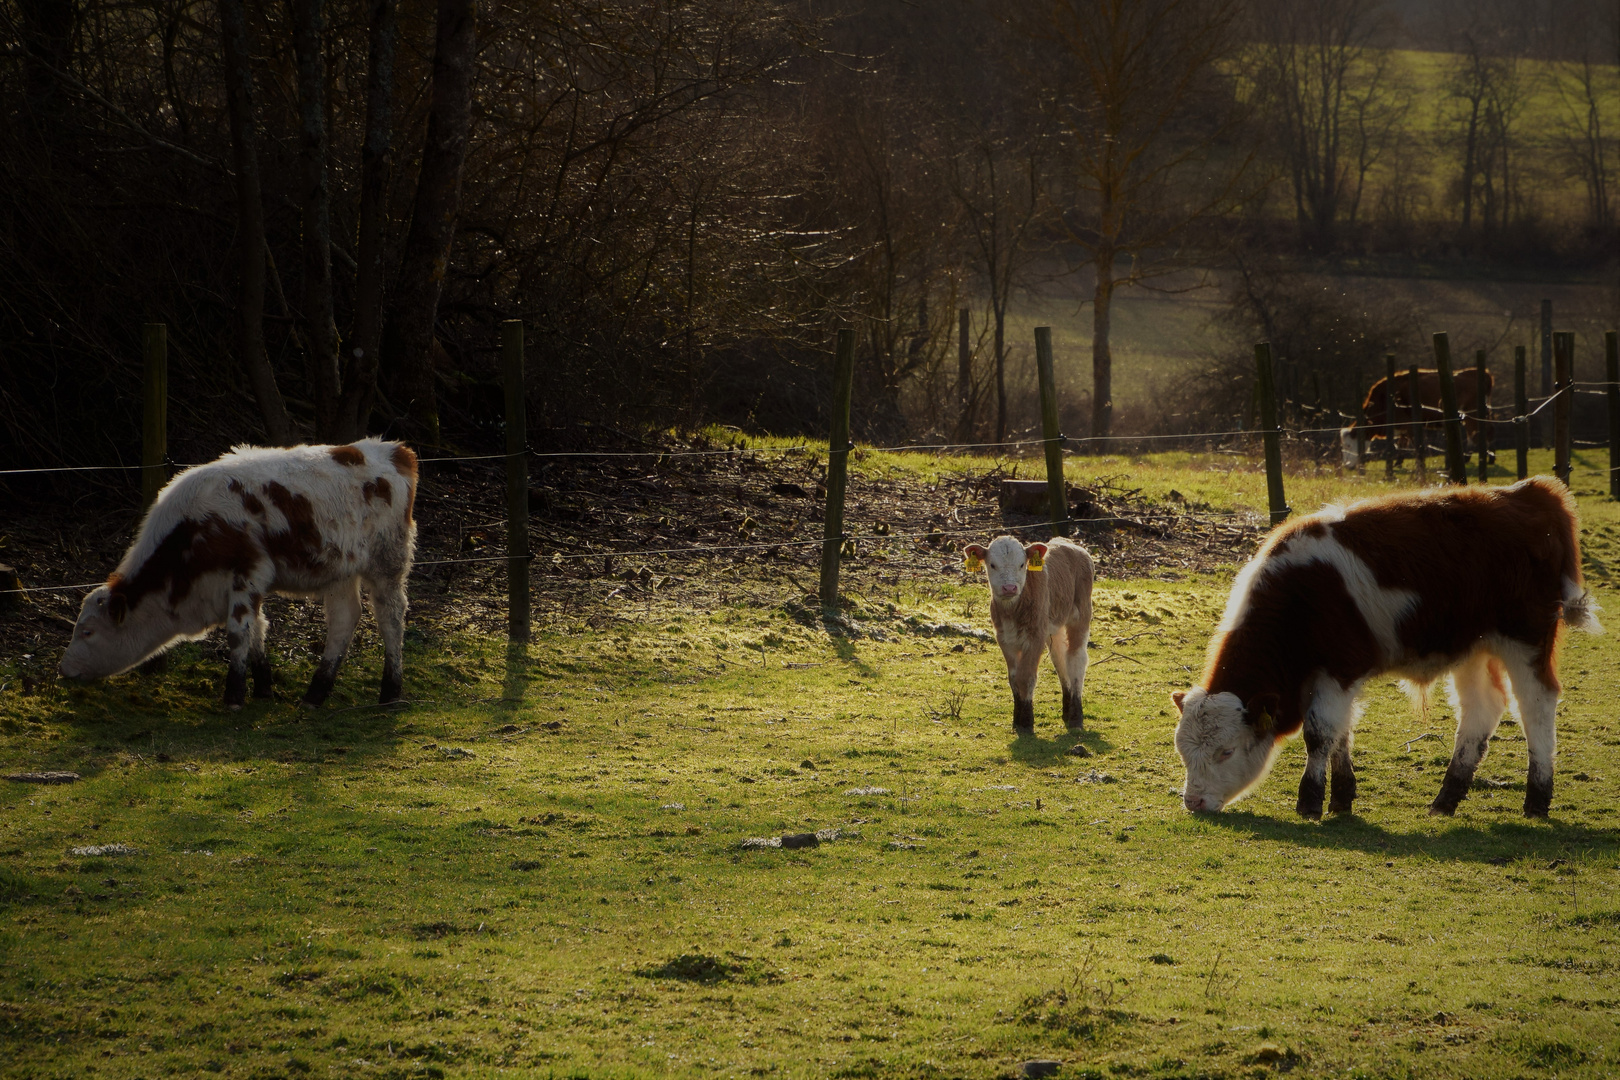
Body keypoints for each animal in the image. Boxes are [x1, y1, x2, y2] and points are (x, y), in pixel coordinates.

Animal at [59, 440, 417, 709]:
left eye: (88, 632)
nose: (64, 669)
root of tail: (393, 451)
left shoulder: (247, 574)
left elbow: (237, 632)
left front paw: (234, 695)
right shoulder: (242, 585)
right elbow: (257, 629)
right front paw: (262, 687)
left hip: (387, 562)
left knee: (391, 617)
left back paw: (391, 690)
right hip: (340, 571)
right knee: (344, 620)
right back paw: (316, 692)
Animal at [959, 534, 1101, 735]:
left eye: (1021, 564)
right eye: (992, 565)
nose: (1009, 588)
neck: (1013, 611)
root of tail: (1067, 542)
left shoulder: (1035, 637)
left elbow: (1026, 677)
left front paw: (1026, 722)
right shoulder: (1004, 638)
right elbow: (1013, 678)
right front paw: (1017, 721)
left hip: (1081, 613)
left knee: (1076, 659)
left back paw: (1075, 717)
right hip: (1054, 626)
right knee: (1060, 659)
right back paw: (1067, 711)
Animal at [1172, 479, 1600, 819]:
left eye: (1226, 752)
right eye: (1183, 751)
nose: (1193, 802)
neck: (1301, 595)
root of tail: (1530, 492)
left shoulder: (1338, 670)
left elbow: (1319, 733)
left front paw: (1310, 801)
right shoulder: (1334, 680)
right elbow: (1341, 732)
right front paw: (1341, 798)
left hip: (1525, 640)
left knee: (1535, 705)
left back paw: (1537, 799)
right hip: (1475, 648)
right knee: (1481, 709)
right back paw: (1446, 799)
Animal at [1341, 367, 1490, 469]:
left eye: (1348, 445)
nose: (1347, 465)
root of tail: (1474, 371)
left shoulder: (1410, 425)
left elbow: (1417, 446)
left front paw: (1419, 465)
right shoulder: (1402, 427)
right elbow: (1401, 444)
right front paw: (1398, 463)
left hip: (1472, 413)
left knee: (1476, 434)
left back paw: (1470, 458)